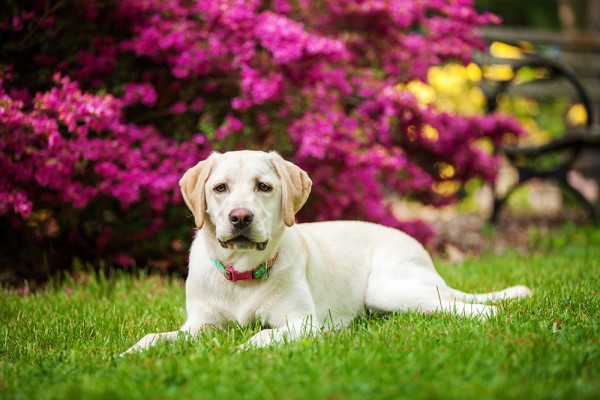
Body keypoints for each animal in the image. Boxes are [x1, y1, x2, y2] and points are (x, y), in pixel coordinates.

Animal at [122, 151, 528, 354]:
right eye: (219, 188)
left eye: (264, 187)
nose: (240, 218)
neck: (242, 272)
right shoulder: (197, 325)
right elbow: (154, 337)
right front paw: (127, 356)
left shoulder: (301, 322)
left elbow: (261, 336)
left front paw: (242, 350)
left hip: (388, 288)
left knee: (470, 307)